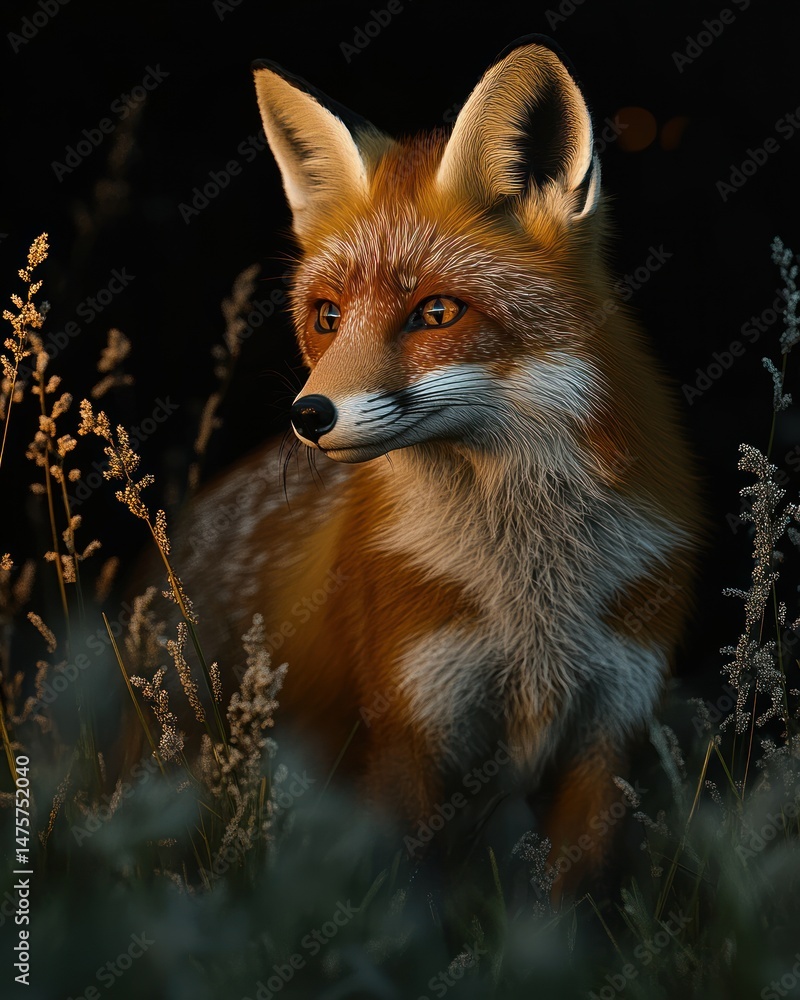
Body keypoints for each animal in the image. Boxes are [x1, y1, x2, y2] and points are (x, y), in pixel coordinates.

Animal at [159, 35, 698, 894]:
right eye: (328, 317)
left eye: (436, 312)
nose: (307, 417)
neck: (532, 594)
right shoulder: (415, 725)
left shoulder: (610, 728)